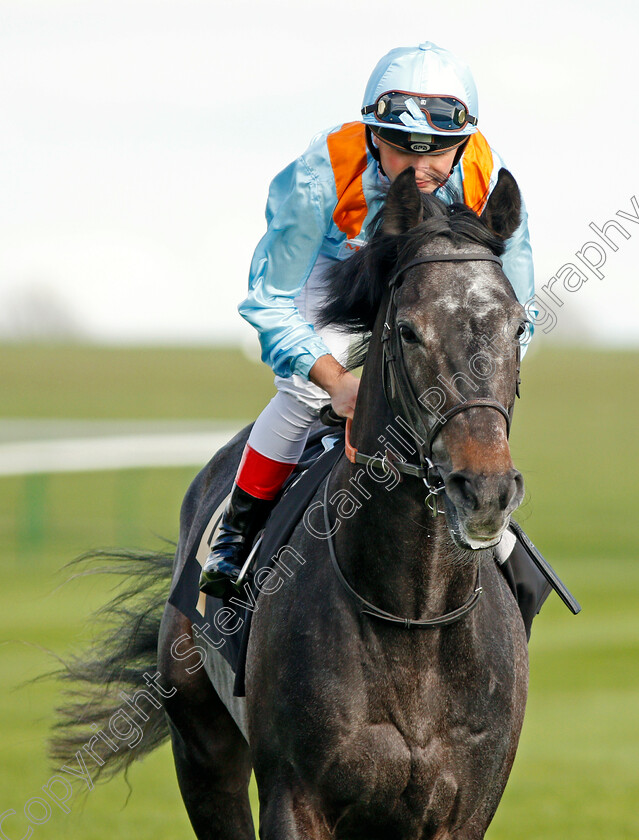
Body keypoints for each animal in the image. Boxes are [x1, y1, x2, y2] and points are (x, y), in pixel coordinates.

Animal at [53, 166, 536, 840]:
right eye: (408, 330)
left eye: (517, 325)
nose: (485, 487)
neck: (411, 615)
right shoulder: (295, 796)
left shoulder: (465, 810)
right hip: (202, 751)